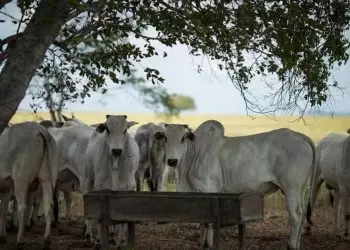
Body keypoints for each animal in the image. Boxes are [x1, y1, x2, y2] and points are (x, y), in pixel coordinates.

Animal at [83, 114, 139, 246]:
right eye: (107, 129)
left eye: (125, 130)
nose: (116, 151)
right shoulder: (100, 189)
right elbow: (99, 218)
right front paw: (99, 240)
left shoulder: (127, 189)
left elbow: (122, 218)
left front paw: (121, 241)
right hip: (87, 180)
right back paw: (88, 235)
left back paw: (113, 235)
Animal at [163, 120, 316, 249]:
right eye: (165, 138)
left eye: (182, 138)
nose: (172, 161)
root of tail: (301, 136)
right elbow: (201, 219)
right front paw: (201, 242)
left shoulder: (210, 188)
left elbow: (208, 221)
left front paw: (209, 244)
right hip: (300, 189)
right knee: (302, 214)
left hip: (291, 188)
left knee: (296, 214)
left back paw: (291, 245)